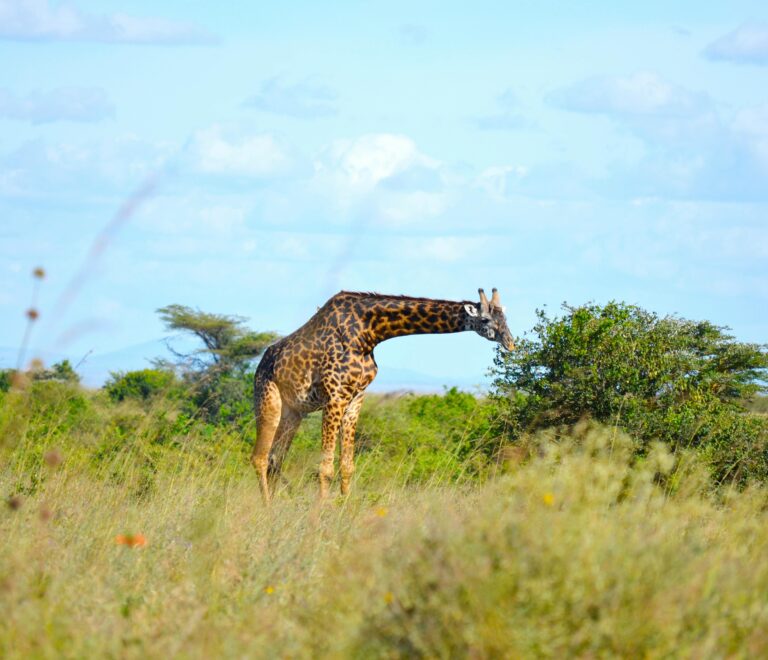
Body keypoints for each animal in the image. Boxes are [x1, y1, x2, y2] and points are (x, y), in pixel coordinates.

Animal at [251, 288, 514, 502]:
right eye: (485, 319)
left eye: (505, 317)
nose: (510, 343)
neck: (369, 333)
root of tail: (261, 365)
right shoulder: (335, 397)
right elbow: (325, 468)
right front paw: (319, 517)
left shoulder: (356, 398)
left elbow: (347, 466)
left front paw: (343, 510)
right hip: (268, 400)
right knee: (260, 458)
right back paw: (267, 509)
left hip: (294, 412)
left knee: (274, 460)